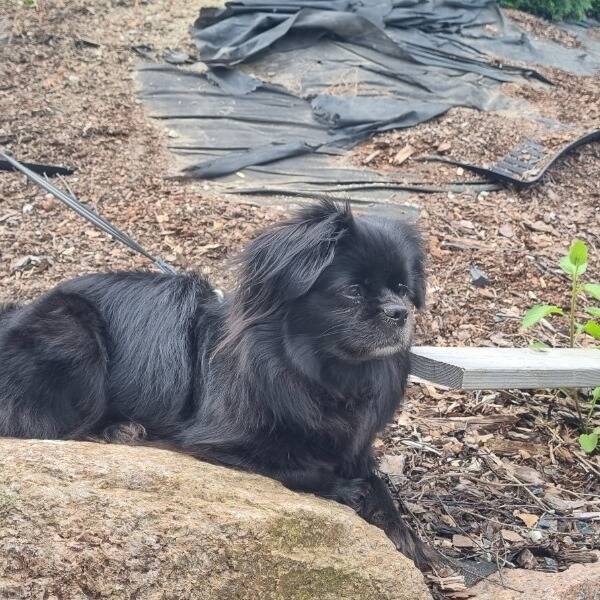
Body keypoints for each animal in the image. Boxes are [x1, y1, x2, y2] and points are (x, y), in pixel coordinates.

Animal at [0, 200, 434, 568]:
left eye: (402, 289)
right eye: (353, 291)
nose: (400, 312)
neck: (325, 373)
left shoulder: (354, 443)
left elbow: (378, 480)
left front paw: (406, 535)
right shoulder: (219, 442)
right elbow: (302, 467)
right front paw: (347, 490)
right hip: (75, 333)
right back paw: (120, 430)